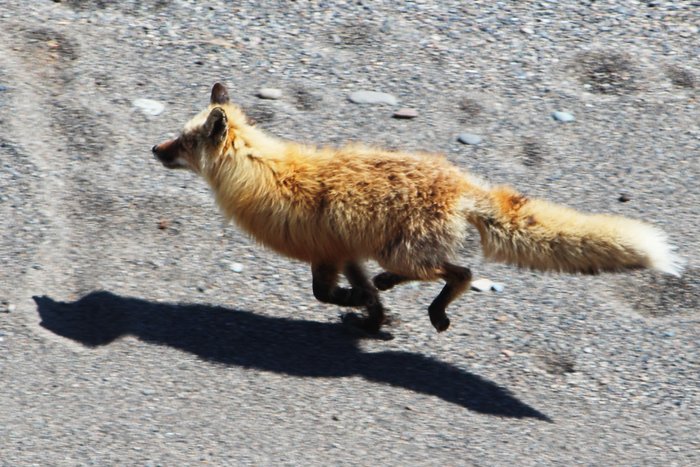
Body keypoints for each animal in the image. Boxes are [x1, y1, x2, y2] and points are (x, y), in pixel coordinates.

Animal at [152, 82, 684, 335]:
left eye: (183, 141)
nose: (154, 150)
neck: (266, 176)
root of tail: (462, 184)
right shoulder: (346, 253)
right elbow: (362, 295)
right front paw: (372, 319)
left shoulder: (326, 255)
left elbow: (327, 296)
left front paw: (363, 312)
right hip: (395, 251)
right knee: (425, 273)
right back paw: (398, 292)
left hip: (403, 250)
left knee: (463, 273)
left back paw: (437, 310)